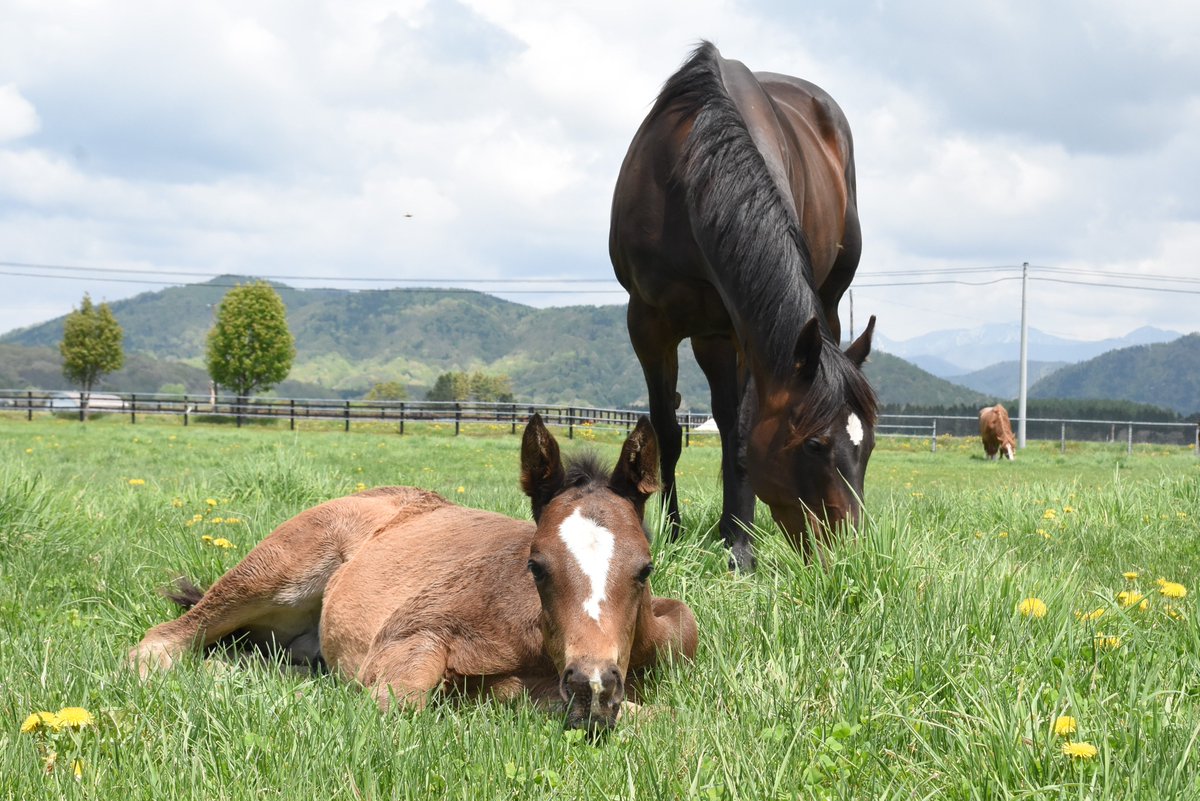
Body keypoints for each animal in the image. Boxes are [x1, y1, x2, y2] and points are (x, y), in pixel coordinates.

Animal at [129, 415, 698, 733]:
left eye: (645, 569)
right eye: (535, 566)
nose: (591, 685)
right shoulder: (410, 632)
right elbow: (397, 702)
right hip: (276, 570)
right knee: (162, 642)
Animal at [610, 41, 877, 570]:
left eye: (871, 446)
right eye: (814, 445)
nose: (847, 557)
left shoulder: (745, 332)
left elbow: (738, 436)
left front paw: (739, 545)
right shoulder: (647, 323)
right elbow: (667, 431)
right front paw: (669, 532)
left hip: (822, 304)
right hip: (705, 334)